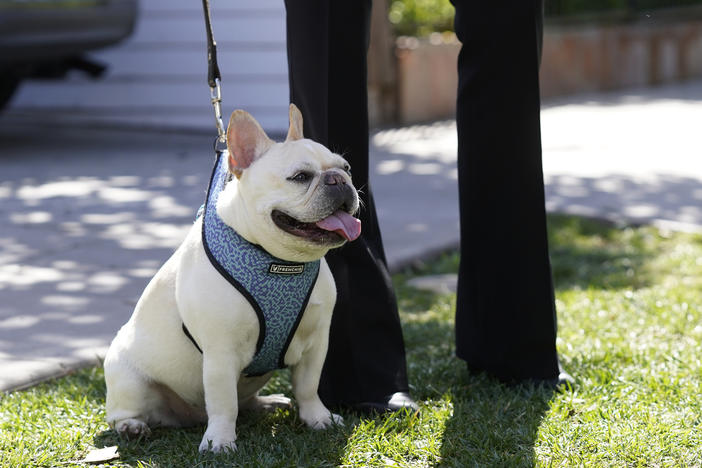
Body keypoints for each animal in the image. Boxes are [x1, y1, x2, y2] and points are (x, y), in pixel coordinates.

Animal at [104, 104, 364, 452]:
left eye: (346, 167)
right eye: (300, 177)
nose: (339, 179)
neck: (280, 261)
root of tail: (187, 416)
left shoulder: (316, 341)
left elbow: (308, 386)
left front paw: (317, 418)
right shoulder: (220, 352)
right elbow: (223, 402)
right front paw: (220, 441)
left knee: (246, 400)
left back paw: (266, 403)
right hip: (128, 377)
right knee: (126, 411)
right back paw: (132, 427)